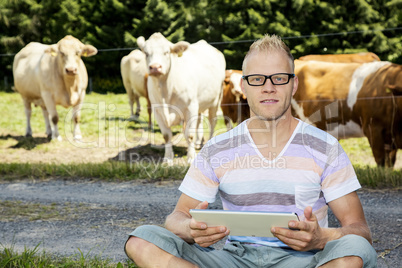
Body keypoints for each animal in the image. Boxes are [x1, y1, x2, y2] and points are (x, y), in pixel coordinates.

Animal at [137, 33, 226, 163]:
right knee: (199, 121)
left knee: (212, 123)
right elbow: (166, 136)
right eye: (146, 53)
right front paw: (167, 159)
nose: (155, 67)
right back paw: (199, 143)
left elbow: (189, 134)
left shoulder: (190, 107)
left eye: (166, 52)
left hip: (215, 101)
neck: (165, 91)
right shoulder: (157, 110)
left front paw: (191, 157)